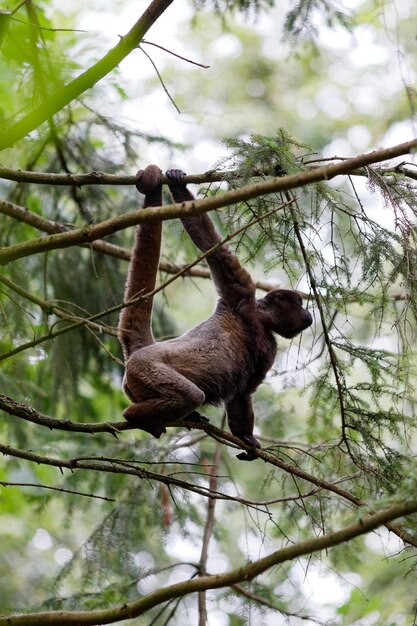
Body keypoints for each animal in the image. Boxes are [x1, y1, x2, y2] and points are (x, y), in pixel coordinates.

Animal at [118, 166, 310, 458]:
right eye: (299, 303)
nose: (308, 314)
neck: (259, 321)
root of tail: (143, 350)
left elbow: (242, 393)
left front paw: (245, 437)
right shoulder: (241, 293)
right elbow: (215, 249)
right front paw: (178, 185)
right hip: (146, 369)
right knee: (190, 396)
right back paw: (135, 416)